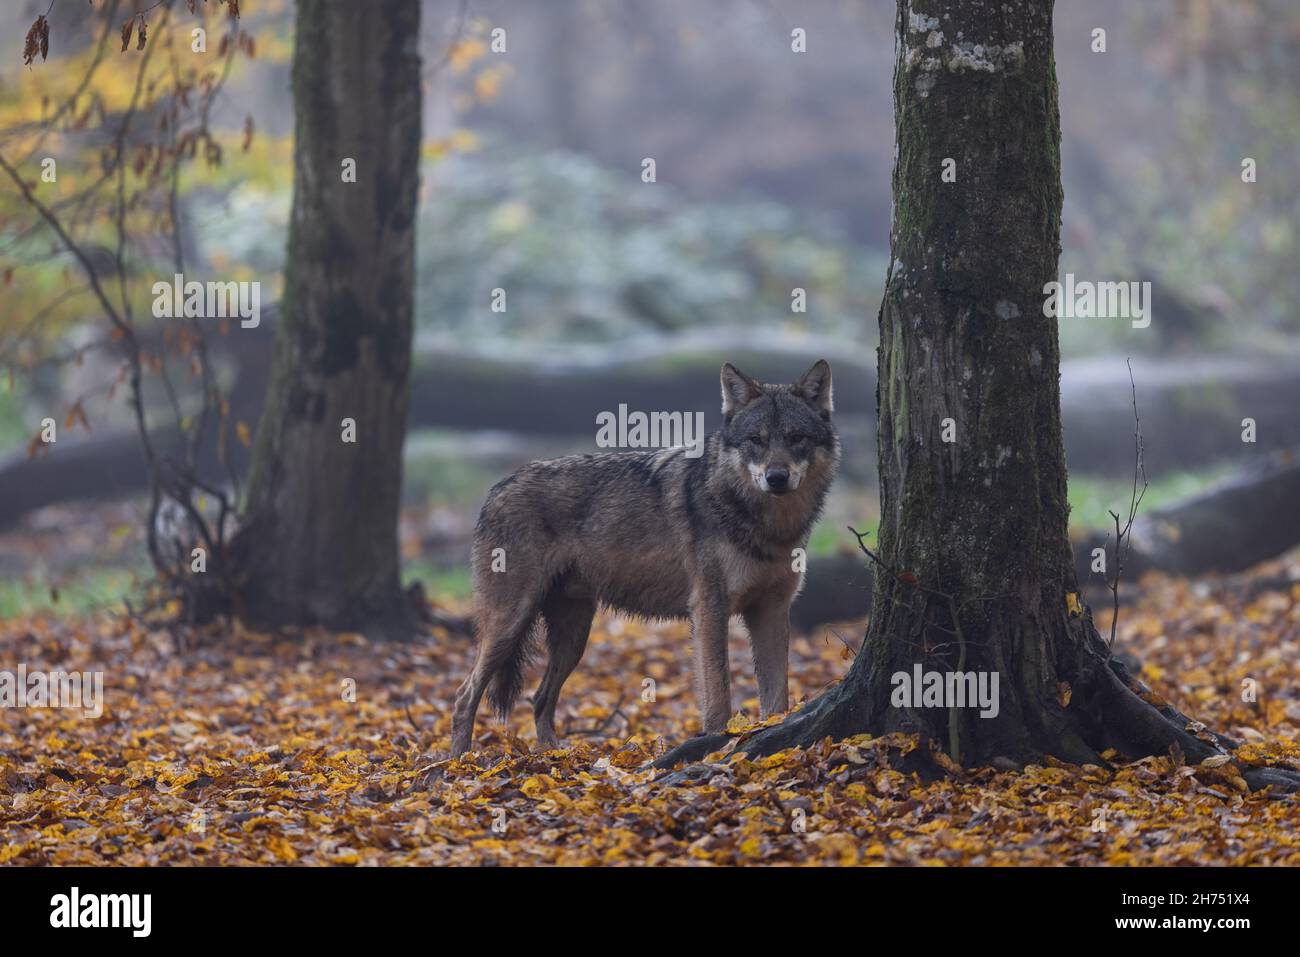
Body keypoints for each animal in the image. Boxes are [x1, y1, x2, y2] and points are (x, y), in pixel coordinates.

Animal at [450, 360, 839, 757]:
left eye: (796, 438)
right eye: (755, 440)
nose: (776, 478)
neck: (768, 526)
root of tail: (498, 487)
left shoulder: (772, 610)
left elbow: (777, 699)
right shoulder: (709, 610)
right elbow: (718, 694)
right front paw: (718, 746)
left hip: (574, 636)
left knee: (540, 698)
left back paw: (554, 756)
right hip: (510, 624)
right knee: (465, 695)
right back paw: (459, 763)